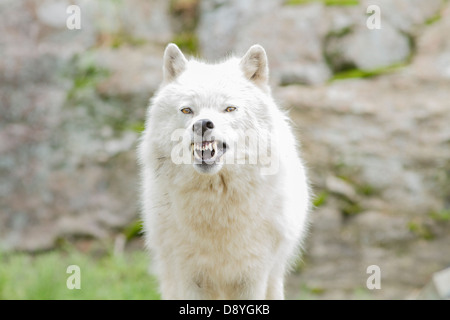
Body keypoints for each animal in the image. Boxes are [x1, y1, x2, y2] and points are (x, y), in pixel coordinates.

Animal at [139, 43, 312, 300]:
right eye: (187, 110)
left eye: (229, 108)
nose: (202, 124)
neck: (216, 203)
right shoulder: (189, 276)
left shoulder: (253, 275)